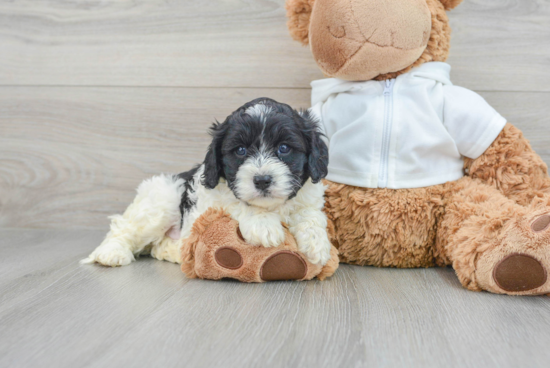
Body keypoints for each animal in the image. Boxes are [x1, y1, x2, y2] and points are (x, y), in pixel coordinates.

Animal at [81, 98, 332, 268]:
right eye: (240, 150)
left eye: (284, 148)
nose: (262, 180)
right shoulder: (212, 198)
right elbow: (236, 202)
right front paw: (264, 225)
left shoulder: (308, 196)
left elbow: (310, 214)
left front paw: (317, 244)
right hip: (162, 200)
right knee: (123, 227)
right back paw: (111, 253)